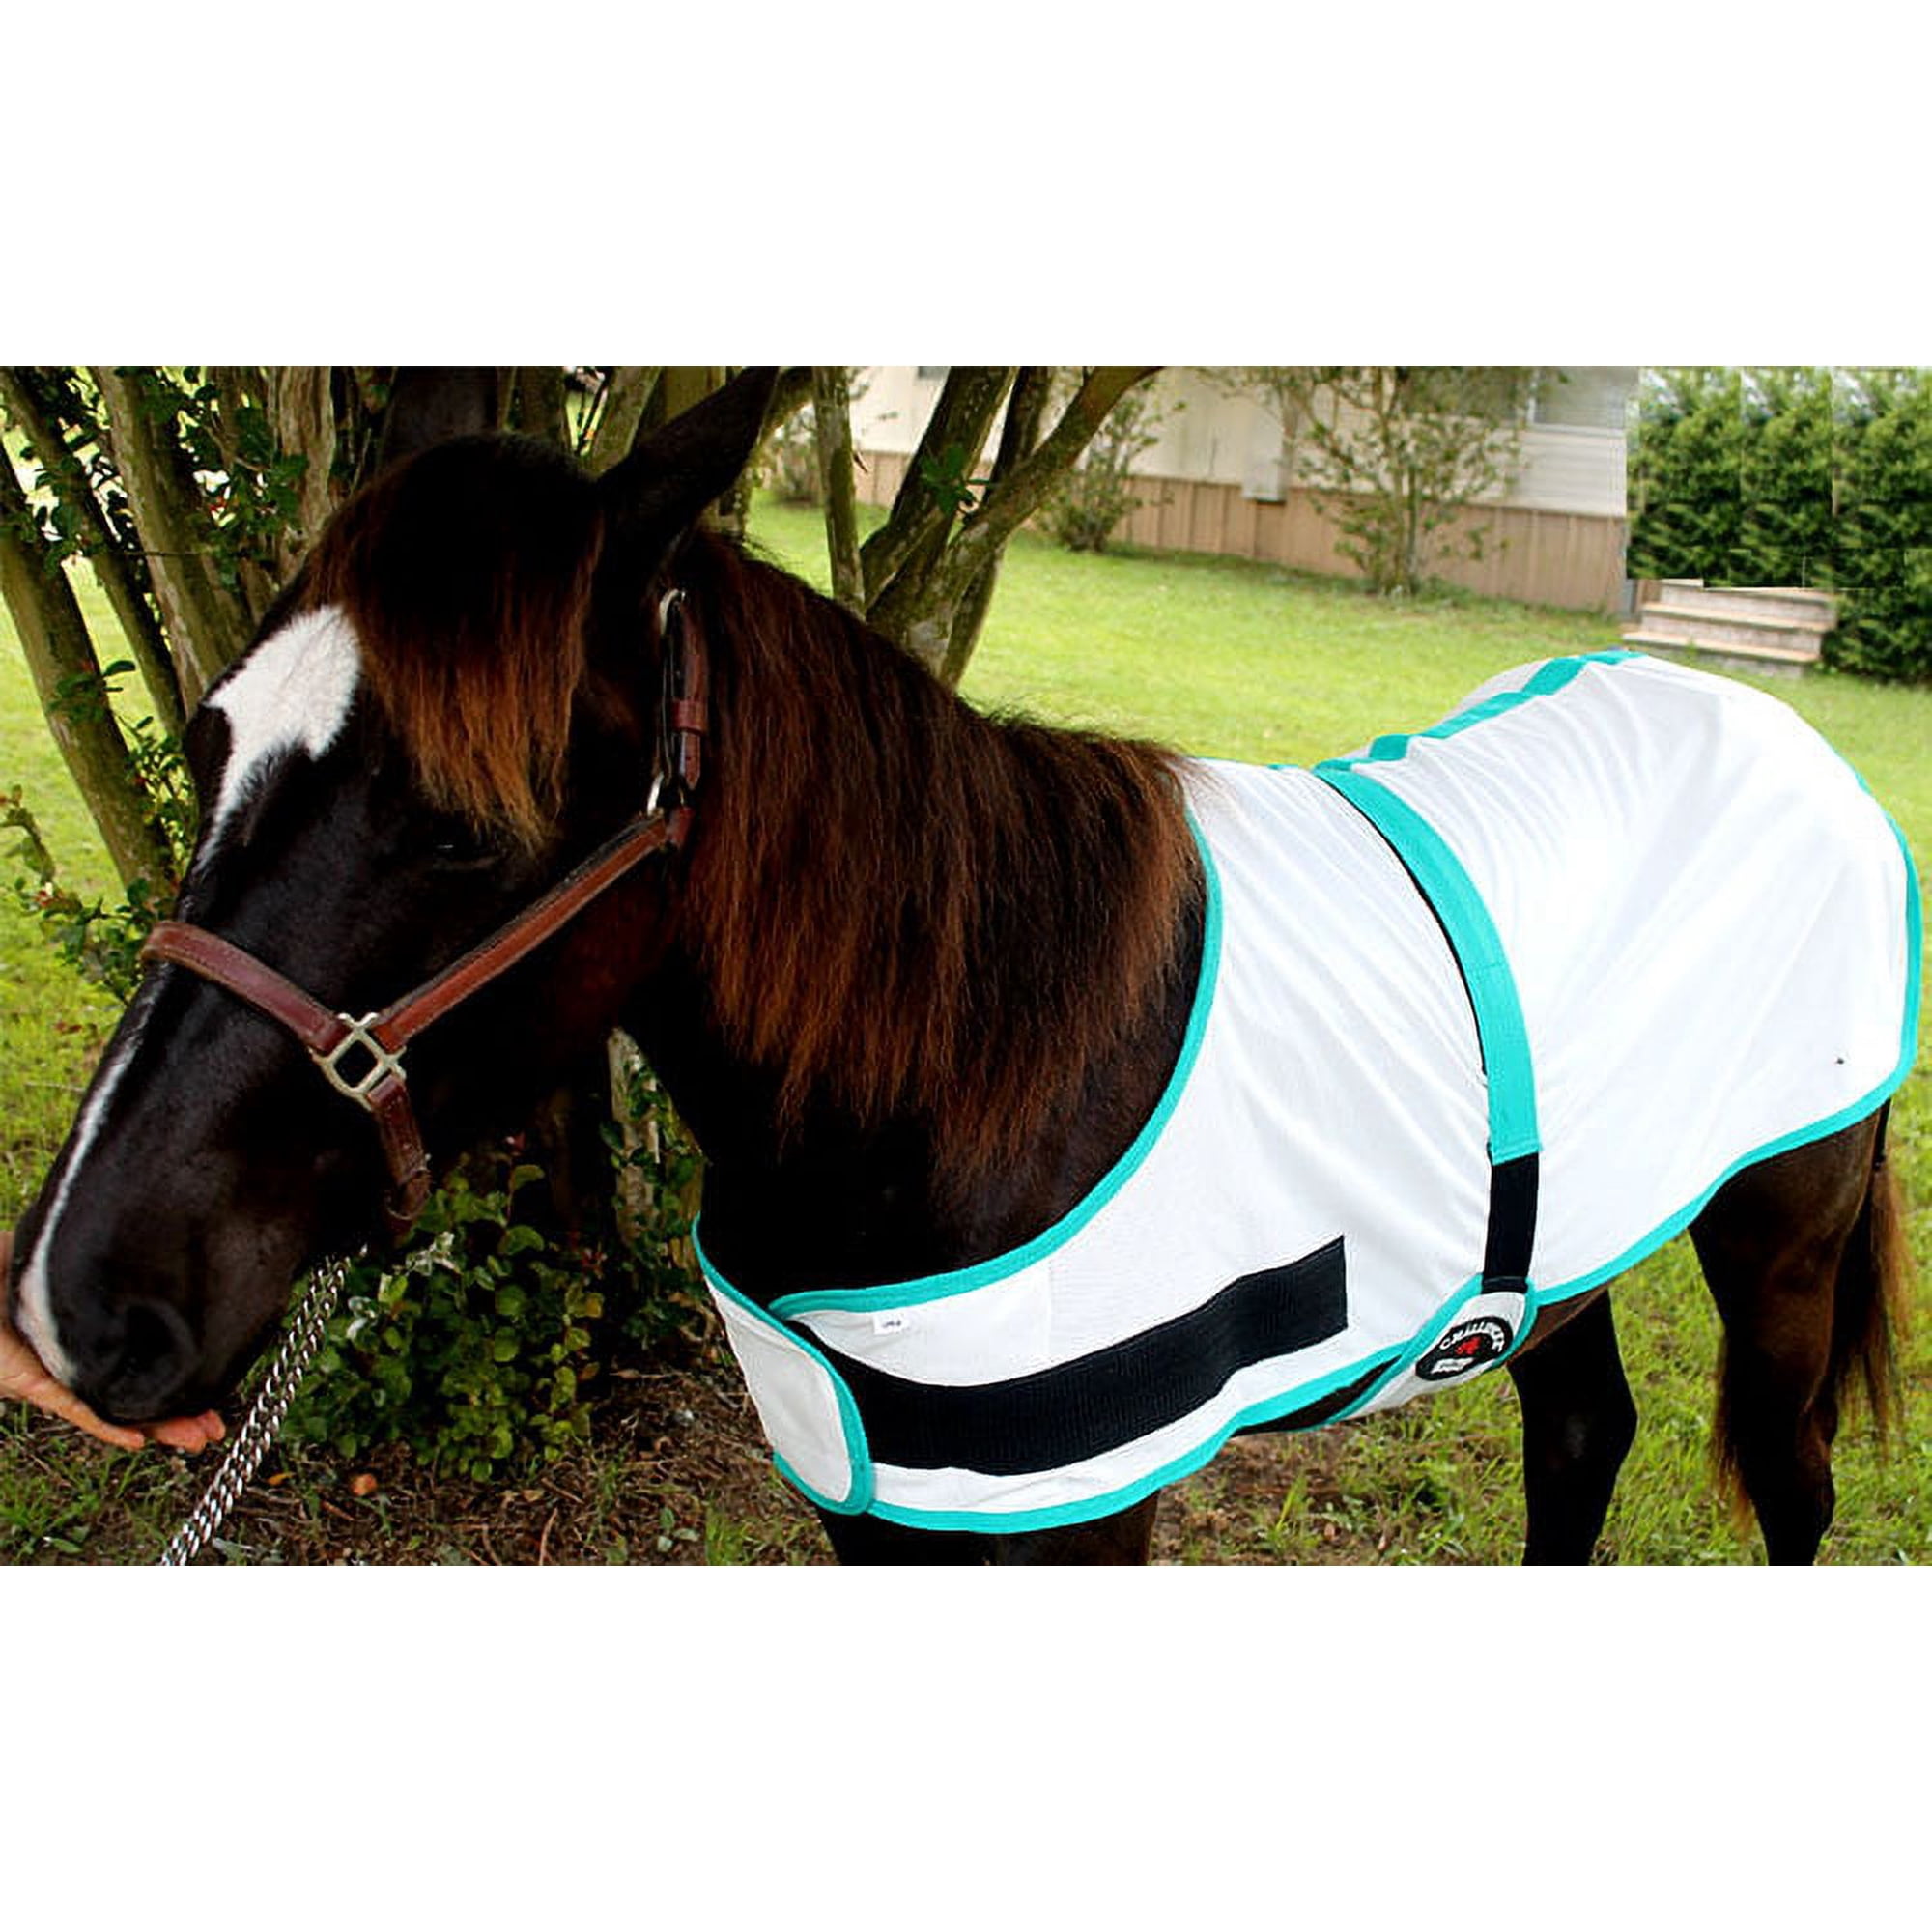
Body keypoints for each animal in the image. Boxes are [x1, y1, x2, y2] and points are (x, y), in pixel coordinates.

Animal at [6, 368, 1917, 1565]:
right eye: (210, 741)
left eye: (467, 831)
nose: (71, 1307)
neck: (954, 1072)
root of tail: (1786, 738)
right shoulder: (881, 1505)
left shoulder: (1077, 1510)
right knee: (1581, 1445)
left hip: (1783, 1241)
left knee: (1793, 1491)